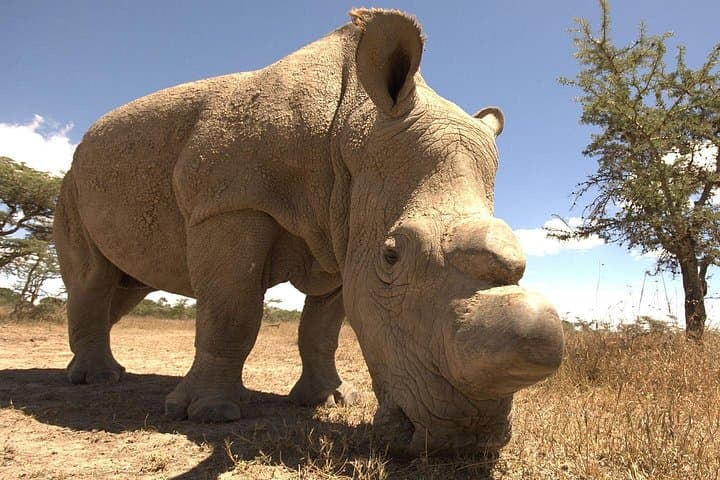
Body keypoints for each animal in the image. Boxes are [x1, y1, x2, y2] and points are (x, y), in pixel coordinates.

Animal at [54, 8, 564, 455]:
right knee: (94, 279)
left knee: (126, 285)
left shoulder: (344, 233)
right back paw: (96, 380)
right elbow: (230, 314)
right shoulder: (229, 204)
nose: (463, 440)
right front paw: (207, 414)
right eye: (391, 256)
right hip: (72, 182)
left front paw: (328, 400)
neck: (354, 132)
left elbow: (321, 330)